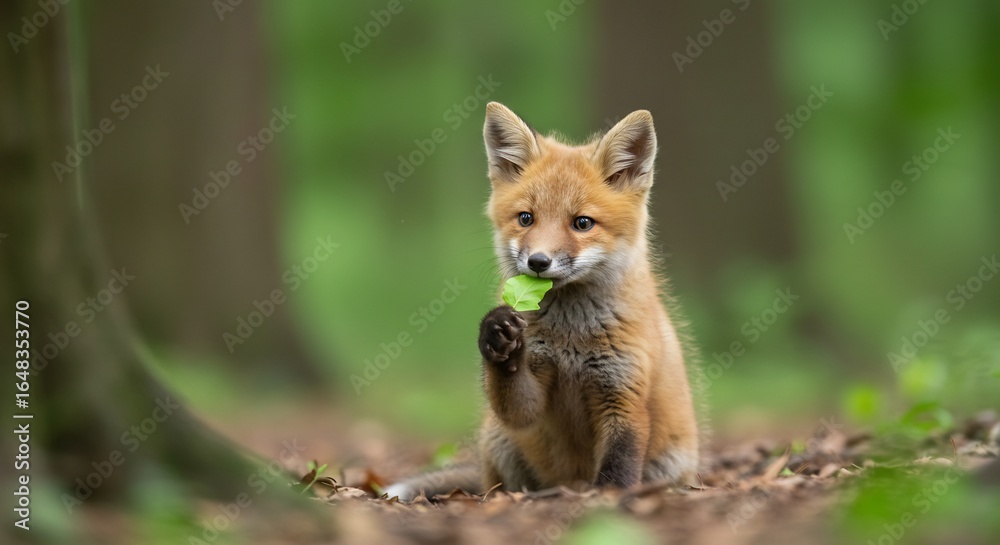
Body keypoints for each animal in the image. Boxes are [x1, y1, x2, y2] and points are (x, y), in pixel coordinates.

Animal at [385, 102, 700, 501]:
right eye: (526, 218)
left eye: (583, 223)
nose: (538, 261)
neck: (571, 338)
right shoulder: (532, 392)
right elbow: (519, 404)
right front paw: (497, 335)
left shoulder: (624, 393)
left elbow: (619, 463)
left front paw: (608, 499)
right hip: (499, 438)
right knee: (500, 485)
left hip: (671, 460)